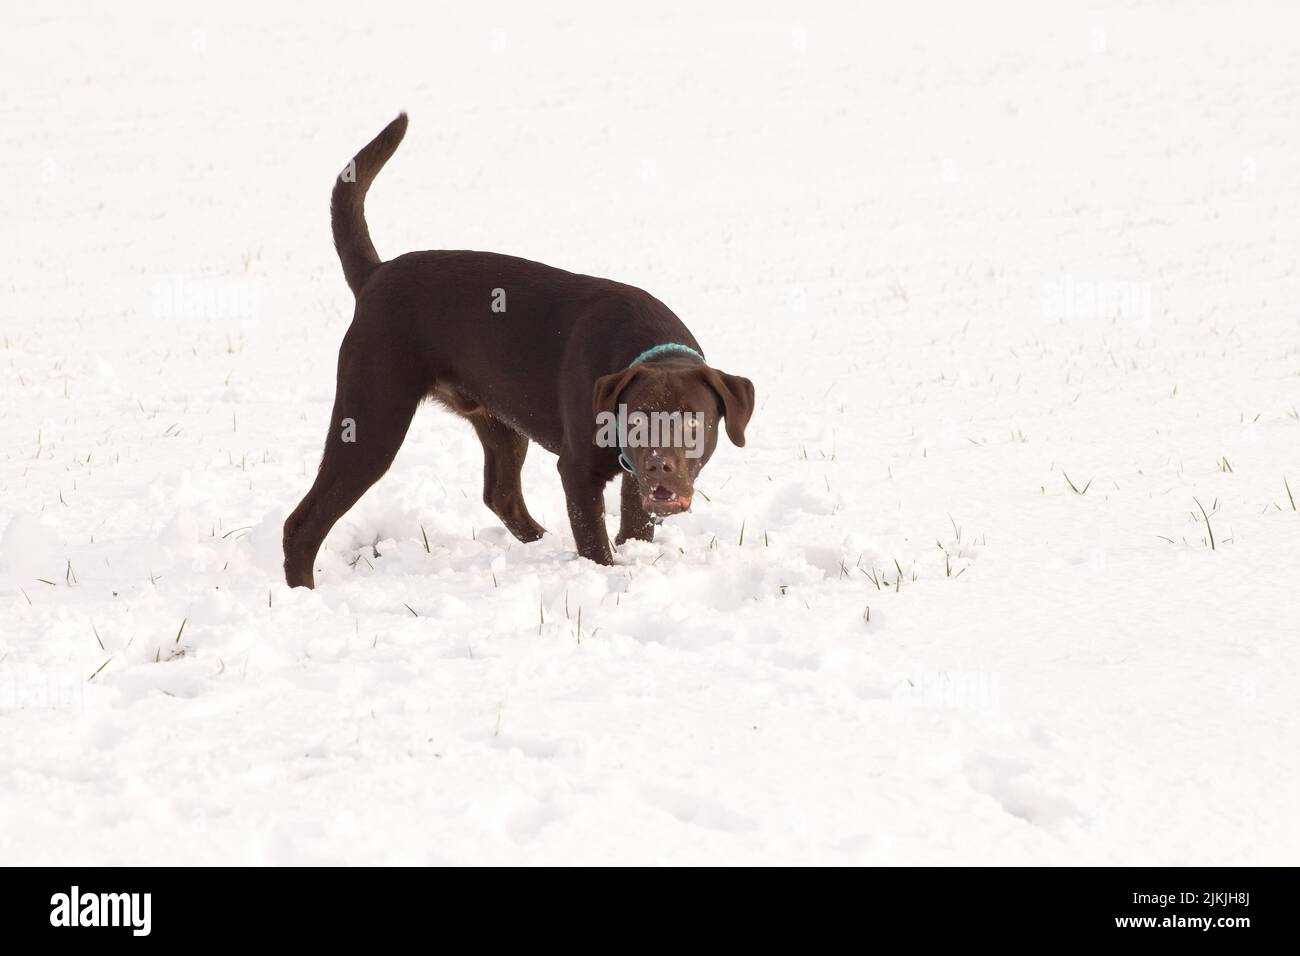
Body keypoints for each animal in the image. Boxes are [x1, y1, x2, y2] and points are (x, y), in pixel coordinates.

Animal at [284, 115, 754, 587]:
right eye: (636, 420)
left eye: (693, 422)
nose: (659, 465)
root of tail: (375, 276)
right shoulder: (578, 470)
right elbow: (595, 543)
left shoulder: (630, 475)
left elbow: (634, 527)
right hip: (372, 420)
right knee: (302, 523)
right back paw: (303, 590)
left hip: (500, 422)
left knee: (501, 494)